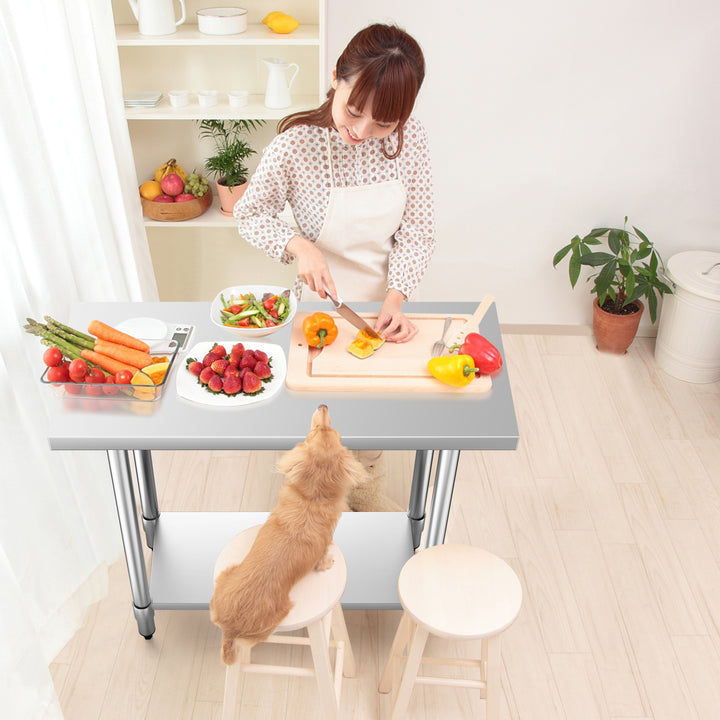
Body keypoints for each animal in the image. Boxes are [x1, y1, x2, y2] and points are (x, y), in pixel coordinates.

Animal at [208, 404, 366, 664]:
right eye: (316, 429)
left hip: (226, 574)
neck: (312, 499)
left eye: (328, 429)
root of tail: (231, 629)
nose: (323, 405)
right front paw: (329, 562)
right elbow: (324, 559)